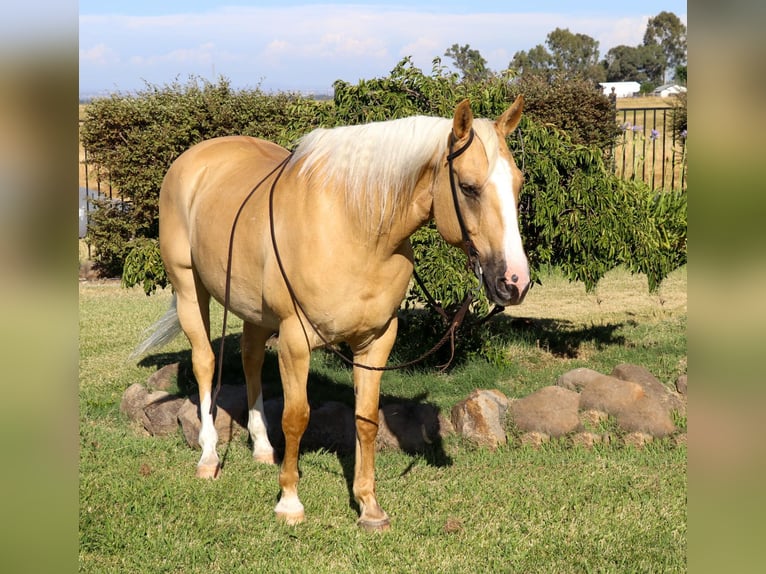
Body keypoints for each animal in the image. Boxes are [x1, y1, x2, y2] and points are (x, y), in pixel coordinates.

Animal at [134, 98, 528, 532]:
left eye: (518, 184)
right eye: (469, 188)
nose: (514, 281)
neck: (354, 229)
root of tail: (193, 159)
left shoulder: (375, 342)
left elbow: (366, 419)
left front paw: (369, 506)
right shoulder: (294, 340)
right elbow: (296, 417)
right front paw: (289, 502)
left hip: (255, 312)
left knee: (251, 360)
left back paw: (262, 447)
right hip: (191, 290)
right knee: (205, 362)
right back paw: (208, 457)